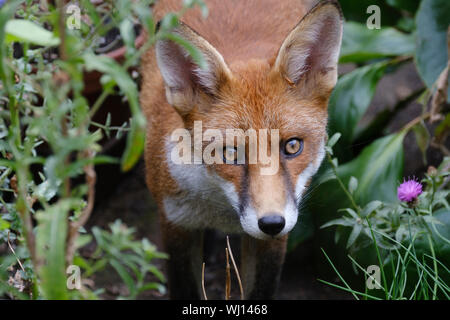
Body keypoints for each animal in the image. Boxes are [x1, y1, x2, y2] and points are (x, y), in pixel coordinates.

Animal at [141, 0, 344, 300]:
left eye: (292, 146)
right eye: (230, 152)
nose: (271, 223)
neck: (222, 209)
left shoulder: (274, 237)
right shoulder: (175, 221)